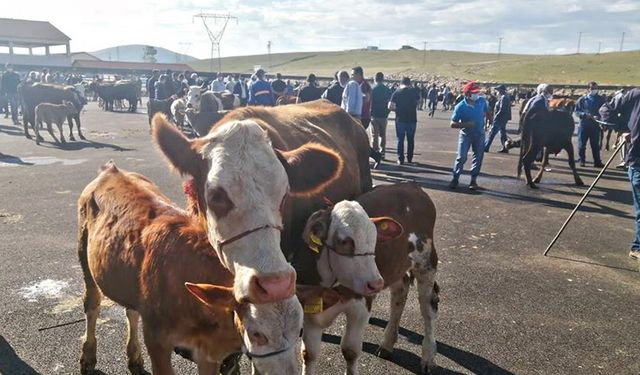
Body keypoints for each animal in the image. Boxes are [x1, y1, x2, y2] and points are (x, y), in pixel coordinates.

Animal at [77, 164, 302, 375]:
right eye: (257, 334)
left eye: (299, 331)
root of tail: (111, 170)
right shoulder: (156, 339)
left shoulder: (211, 353)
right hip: (83, 250)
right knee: (92, 304)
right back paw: (88, 357)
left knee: (131, 311)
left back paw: (134, 357)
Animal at [298, 183, 438, 375]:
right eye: (343, 241)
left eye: (375, 240)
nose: (376, 284)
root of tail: (411, 185)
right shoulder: (311, 310)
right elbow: (309, 354)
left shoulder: (361, 305)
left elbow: (350, 350)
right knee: (399, 295)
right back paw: (387, 344)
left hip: (426, 262)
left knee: (428, 308)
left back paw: (428, 356)